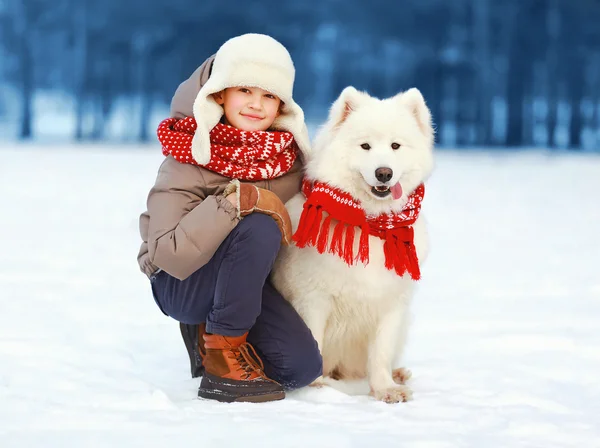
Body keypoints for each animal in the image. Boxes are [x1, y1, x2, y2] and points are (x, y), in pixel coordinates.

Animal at [270, 85, 434, 402]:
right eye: (365, 146)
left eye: (395, 146)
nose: (384, 173)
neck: (370, 222)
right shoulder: (313, 299)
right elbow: (314, 344)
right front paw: (316, 388)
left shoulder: (390, 303)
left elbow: (380, 354)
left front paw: (385, 389)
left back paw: (398, 374)